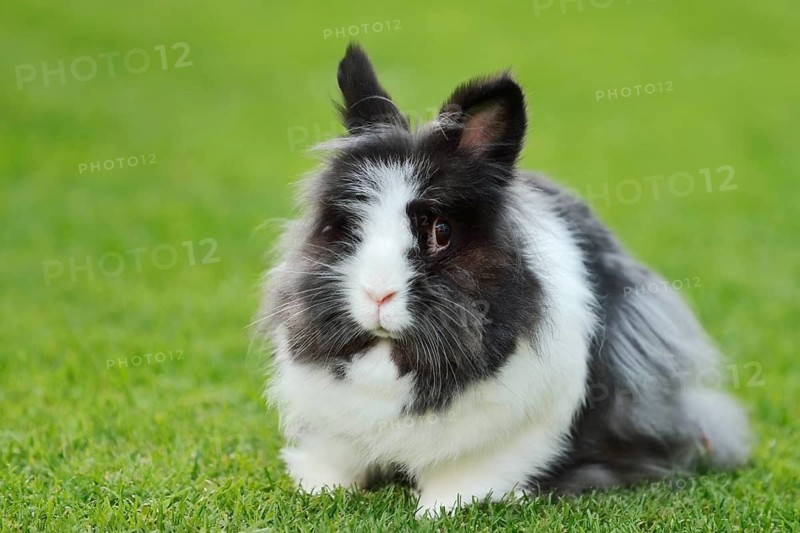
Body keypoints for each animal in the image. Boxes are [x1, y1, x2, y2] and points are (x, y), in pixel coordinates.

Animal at [256, 44, 751, 518]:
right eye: (349, 228)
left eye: (441, 232)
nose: (378, 294)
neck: (391, 356)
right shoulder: (331, 428)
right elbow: (334, 461)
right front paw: (320, 489)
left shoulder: (514, 436)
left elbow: (468, 474)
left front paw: (439, 510)